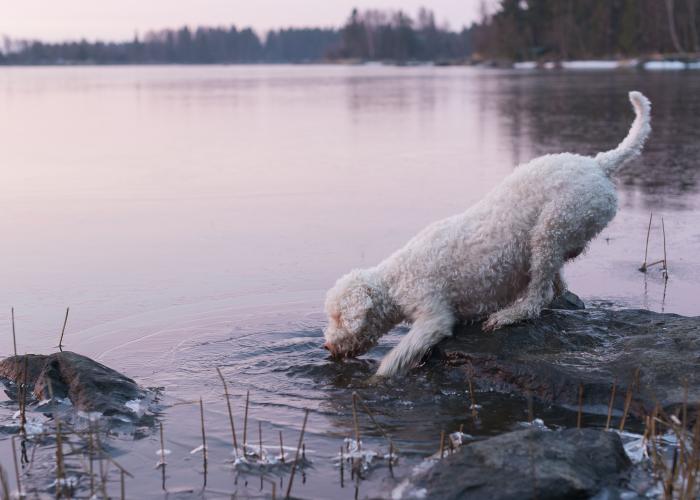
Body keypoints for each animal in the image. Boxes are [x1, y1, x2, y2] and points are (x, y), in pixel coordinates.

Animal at [322, 92, 652, 376]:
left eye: (338, 317)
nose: (326, 346)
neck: (394, 280)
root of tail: (598, 164)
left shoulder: (433, 315)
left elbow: (401, 353)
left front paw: (377, 378)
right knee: (556, 282)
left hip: (553, 225)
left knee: (540, 293)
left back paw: (508, 315)